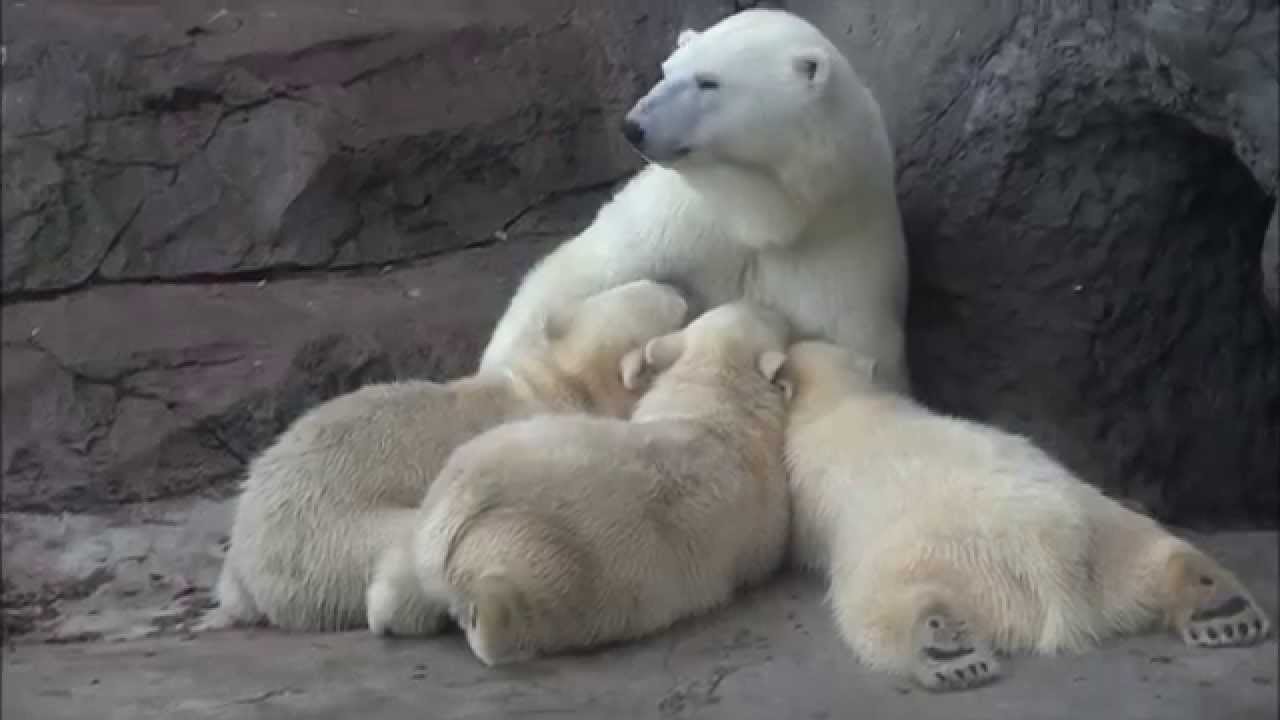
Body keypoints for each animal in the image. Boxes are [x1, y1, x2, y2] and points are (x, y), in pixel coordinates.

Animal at [392, 301, 793, 665]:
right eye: (768, 313)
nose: (773, 305)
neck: (717, 400)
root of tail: (454, 511)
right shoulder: (766, 522)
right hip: (535, 553)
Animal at [478, 8, 911, 394]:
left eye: (708, 82)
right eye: (667, 70)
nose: (633, 126)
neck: (762, 216)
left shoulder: (835, 256)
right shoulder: (683, 220)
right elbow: (582, 274)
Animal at [779, 340, 1273, 692]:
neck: (844, 400)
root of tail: (1049, 554)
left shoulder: (801, 486)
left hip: (943, 558)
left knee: (882, 604)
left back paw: (944, 650)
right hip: (1104, 535)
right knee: (1152, 551)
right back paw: (1221, 607)